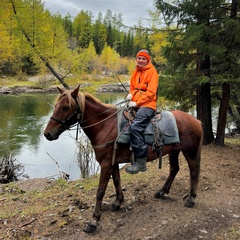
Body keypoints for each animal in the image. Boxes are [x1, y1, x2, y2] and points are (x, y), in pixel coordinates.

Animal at [43, 86, 202, 232]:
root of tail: (196, 120)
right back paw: (162, 192)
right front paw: (118, 202)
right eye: (56, 106)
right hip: (174, 151)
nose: (47, 134)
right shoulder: (113, 162)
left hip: (190, 152)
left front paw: (93, 220)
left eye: (65, 107)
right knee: (174, 169)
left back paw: (191, 198)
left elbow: (100, 191)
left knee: (194, 171)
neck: (105, 125)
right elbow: (116, 181)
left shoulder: (106, 164)